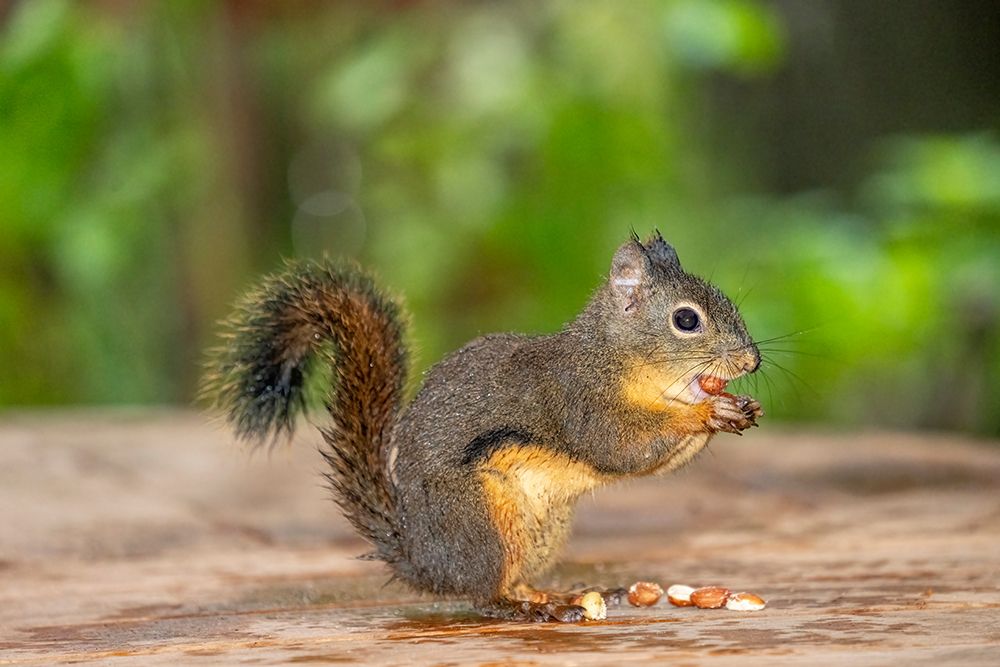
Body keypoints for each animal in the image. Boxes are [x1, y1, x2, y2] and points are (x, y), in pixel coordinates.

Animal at [202, 231, 763, 622]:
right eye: (686, 320)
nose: (752, 361)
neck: (615, 357)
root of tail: (422, 558)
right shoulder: (578, 401)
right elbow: (621, 447)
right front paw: (707, 413)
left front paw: (737, 408)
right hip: (481, 520)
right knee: (485, 596)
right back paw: (530, 609)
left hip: (540, 532)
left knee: (509, 582)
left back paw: (552, 594)